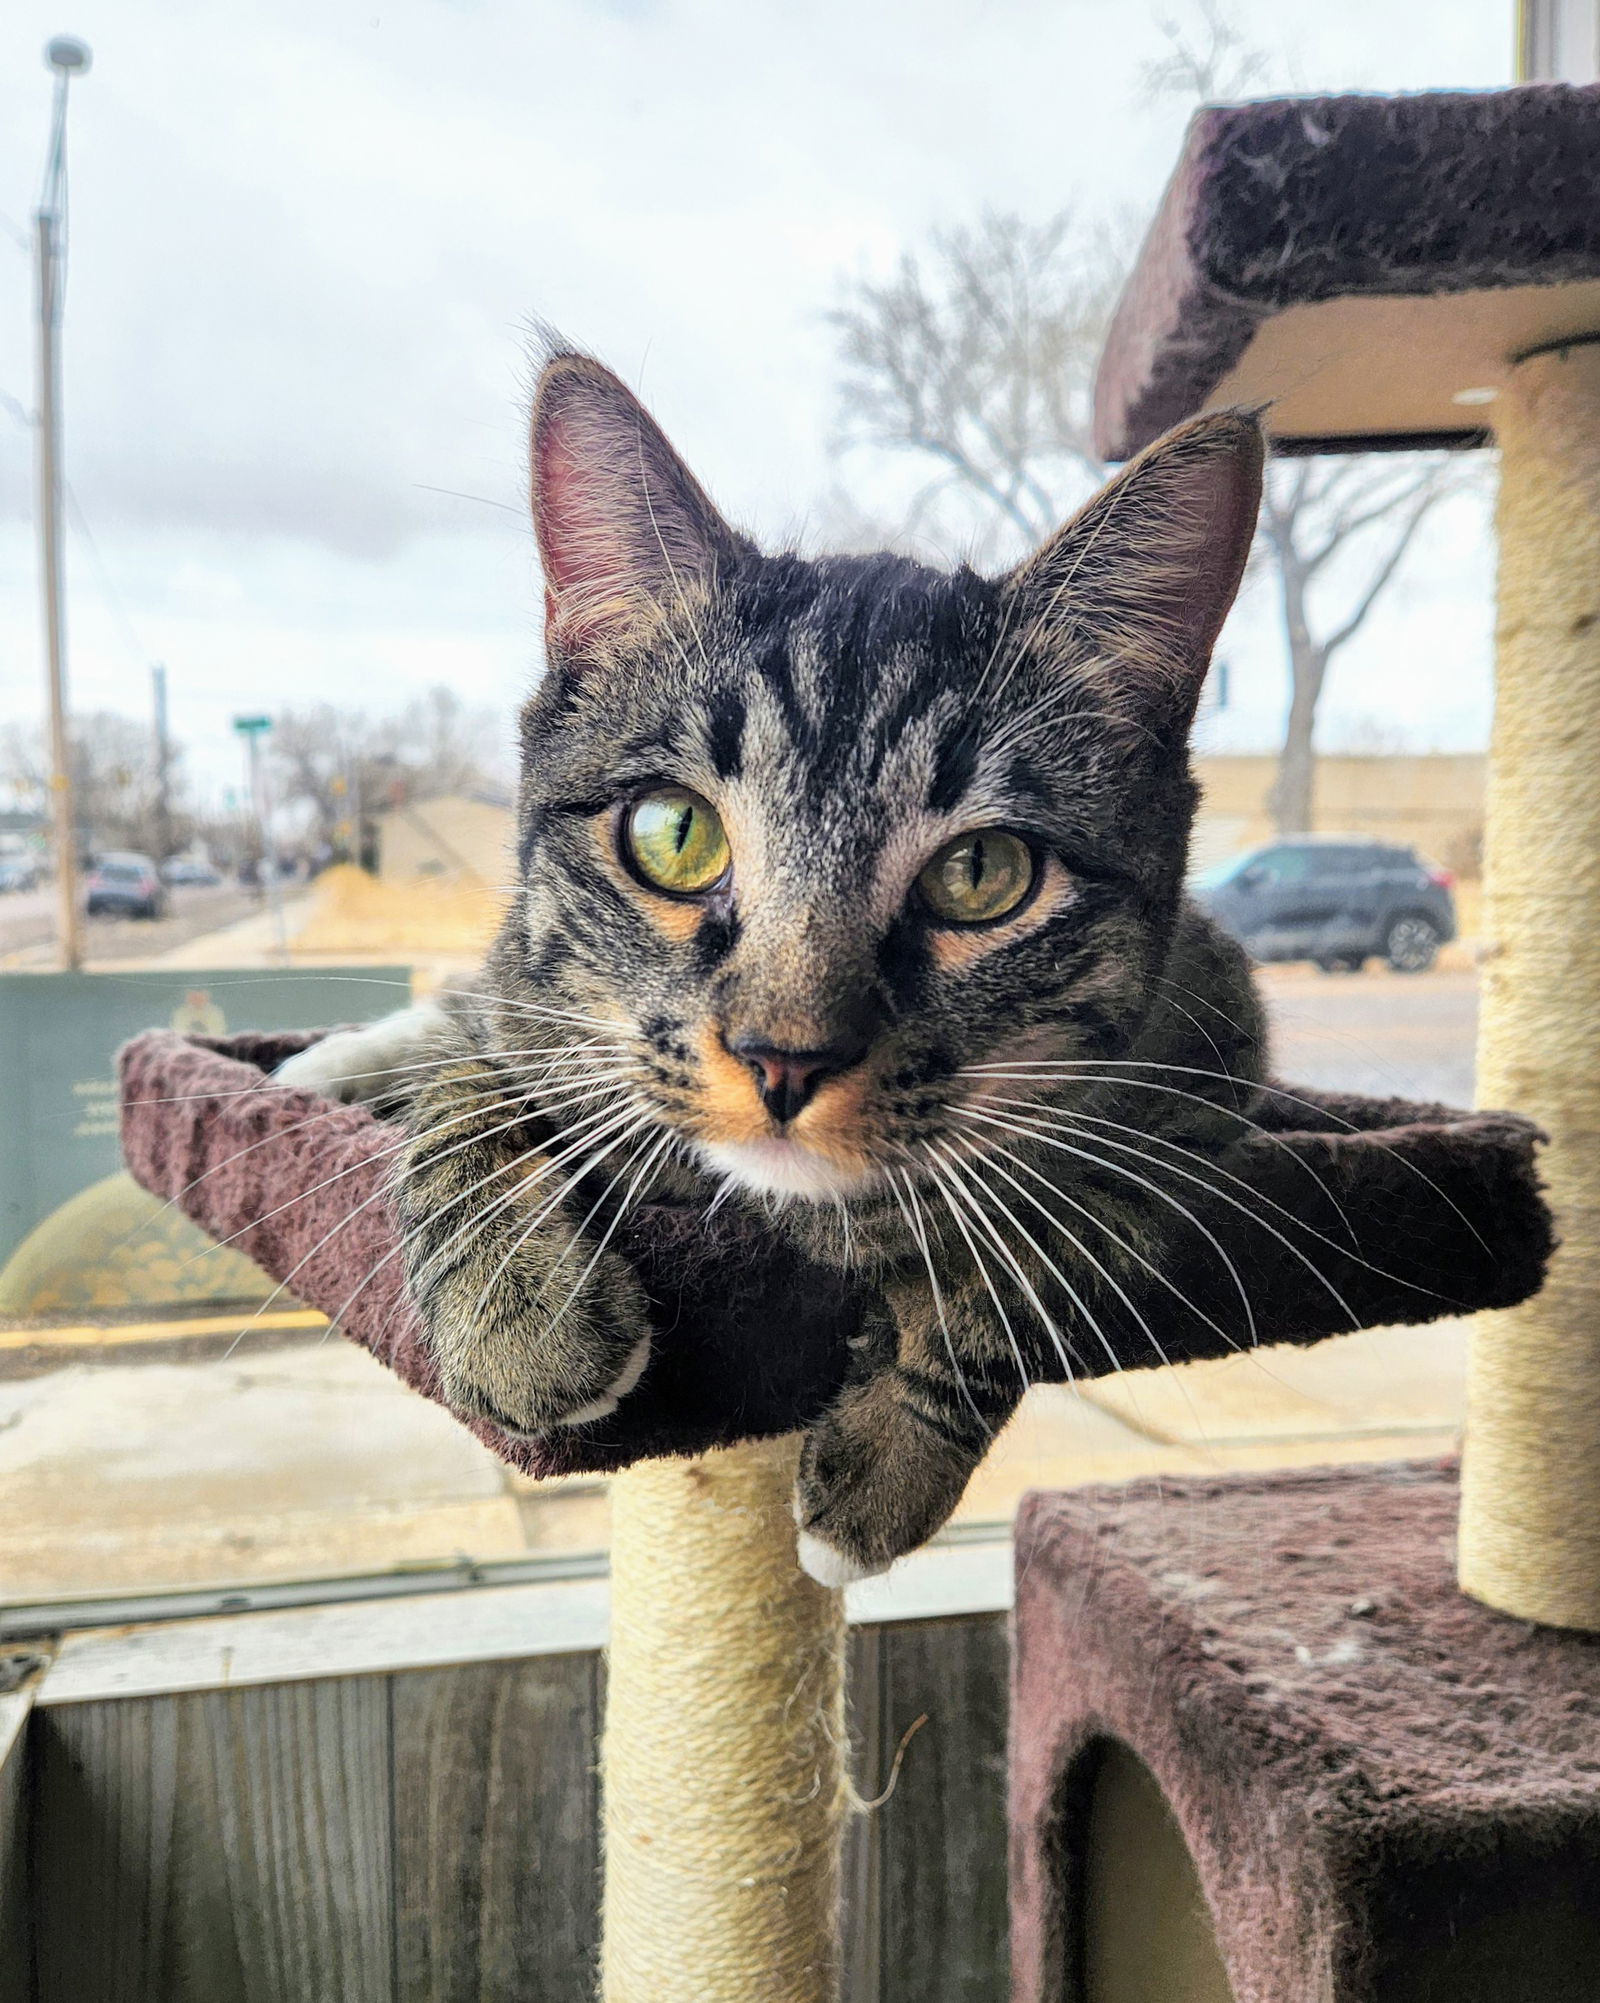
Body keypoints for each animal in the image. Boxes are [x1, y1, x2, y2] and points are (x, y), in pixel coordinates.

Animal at [282, 356, 1273, 1578]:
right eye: (674, 833)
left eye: (983, 872)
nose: (783, 1058)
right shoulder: (538, 1002)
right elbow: (476, 1074)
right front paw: (519, 1310)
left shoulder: (1206, 1079)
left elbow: (1045, 1251)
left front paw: (889, 1459)